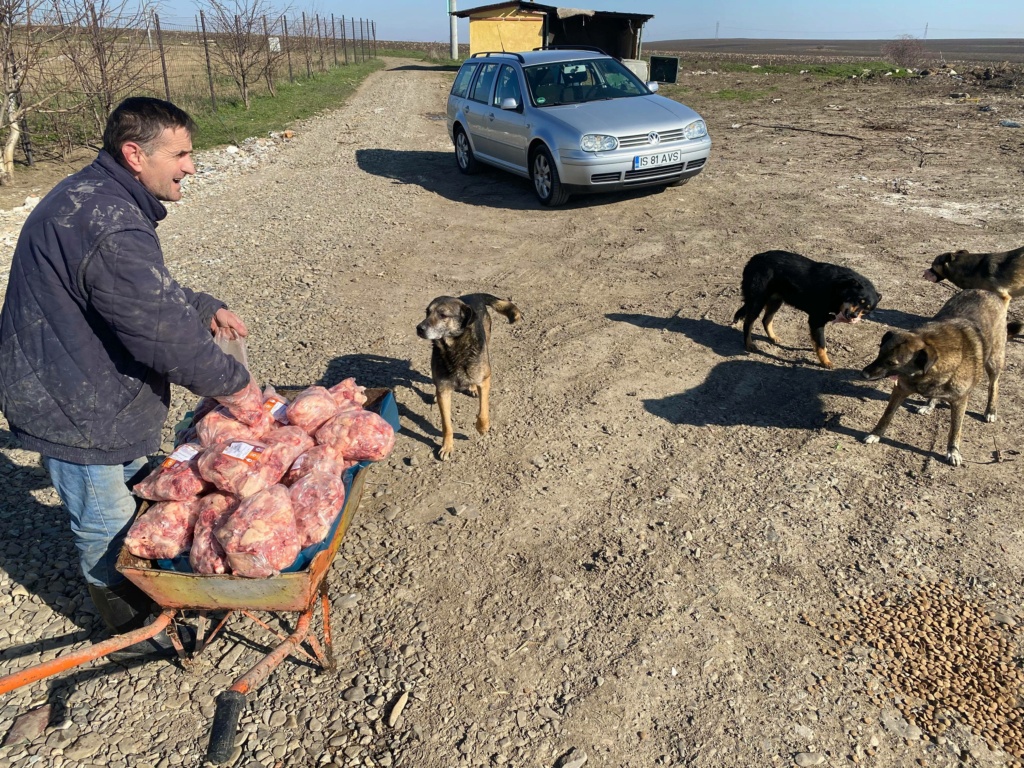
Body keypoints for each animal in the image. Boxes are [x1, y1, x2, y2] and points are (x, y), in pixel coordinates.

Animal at [413, 294, 520, 462]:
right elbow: (446, 424)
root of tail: (474, 295)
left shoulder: (485, 380)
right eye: (427, 312)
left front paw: (482, 427)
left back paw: (472, 388)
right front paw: (447, 446)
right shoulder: (443, 389)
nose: (419, 328)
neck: (453, 349)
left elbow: (483, 410)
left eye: (443, 315)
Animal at [733, 250, 884, 368]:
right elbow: (821, 343)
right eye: (858, 299)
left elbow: (820, 342)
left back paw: (773, 337)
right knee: (748, 322)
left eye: (867, 308)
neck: (839, 289)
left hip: (776, 300)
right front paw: (825, 361)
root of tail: (754, 259)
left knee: (766, 320)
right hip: (757, 300)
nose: (854, 316)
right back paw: (749, 344)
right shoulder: (816, 320)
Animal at [860, 290, 1011, 466]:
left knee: (994, 385)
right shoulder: (900, 390)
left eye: (892, 363)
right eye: (879, 352)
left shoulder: (960, 401)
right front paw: (875, 434)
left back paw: (990, 410)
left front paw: (953, 452)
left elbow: (955, 429)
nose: (864, 374)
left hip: (994, 361)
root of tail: (991, 293)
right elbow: (887, 415)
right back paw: (929, 404)